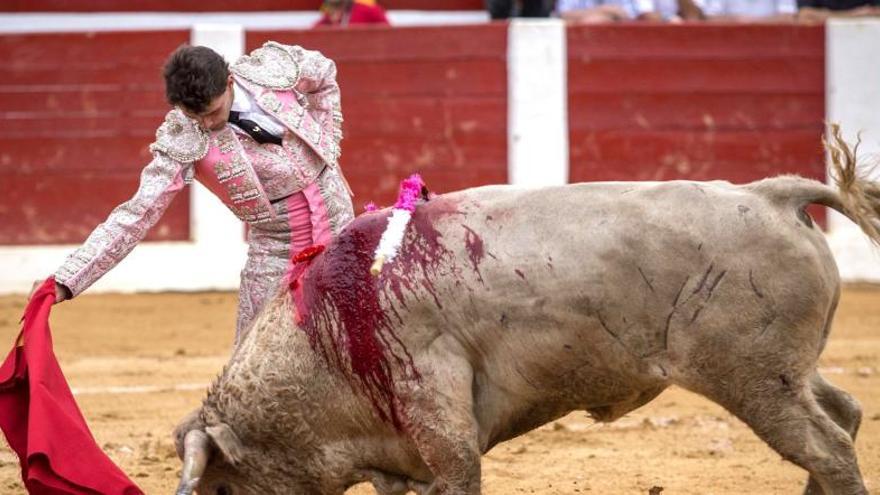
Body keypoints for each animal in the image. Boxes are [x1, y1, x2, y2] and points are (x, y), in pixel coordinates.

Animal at [175, 129, 876, 495]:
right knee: (842, 414)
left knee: (827, 446)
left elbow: (459, 472)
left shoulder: (435, 409)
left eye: (224, 488)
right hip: (784, 372)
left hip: (752, 377)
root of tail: (771, 194)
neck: (328, 332)